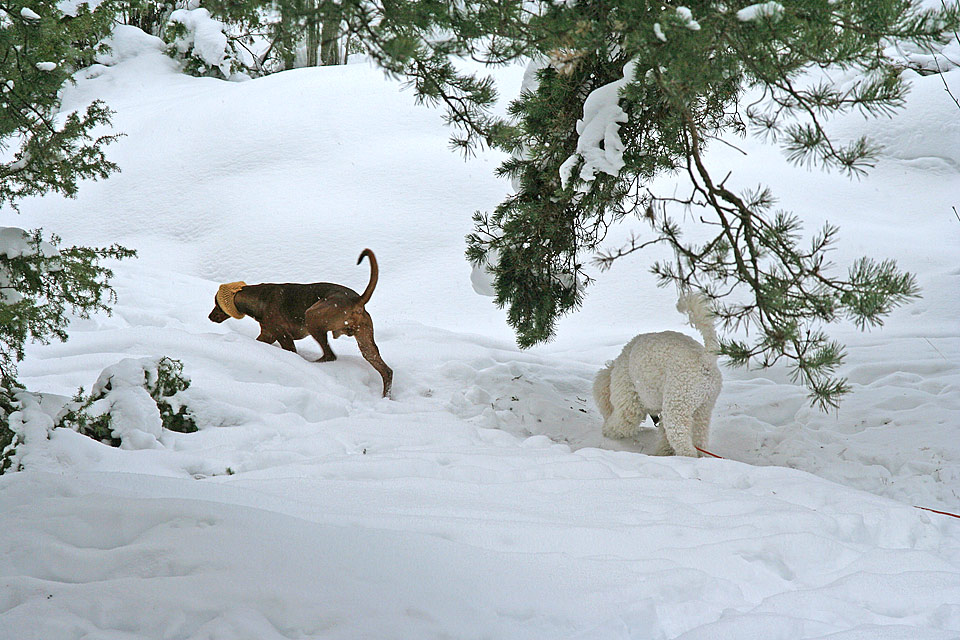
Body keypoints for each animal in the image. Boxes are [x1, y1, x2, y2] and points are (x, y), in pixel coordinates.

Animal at [208, 249, 393, 397]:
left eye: (217, 303)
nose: (210, 317)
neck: (259, 297)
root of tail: (357, 300)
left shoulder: (283, 336)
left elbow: (290, 350)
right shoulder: (267, 334)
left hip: (312, 317)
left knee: (329, 355)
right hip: (366, 344)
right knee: (387, 371)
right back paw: (386, 396)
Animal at [593, 293, 722, 457]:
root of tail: (705, 359)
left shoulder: (628, 400)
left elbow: (623, 422)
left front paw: (608, 431)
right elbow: (664, 436)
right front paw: (663, 452)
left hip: (678, 403)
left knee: (683, 443)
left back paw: (687, 457)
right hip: (703, 408)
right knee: (700, 439)